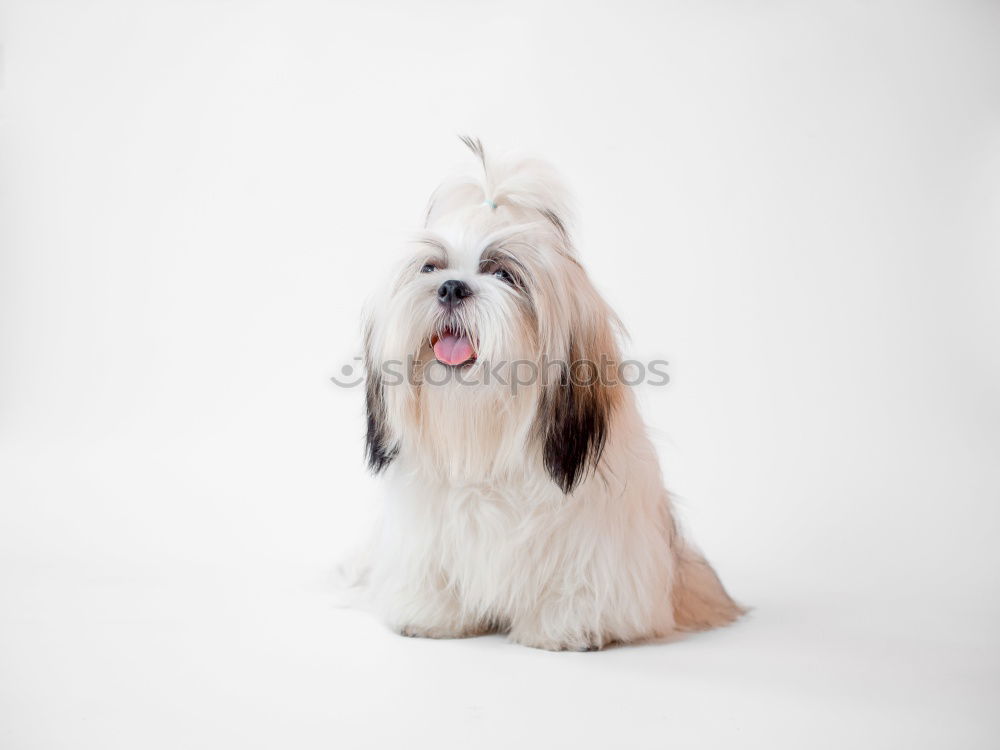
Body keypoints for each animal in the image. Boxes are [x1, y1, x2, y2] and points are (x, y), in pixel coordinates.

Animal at [352, 137, 744, 652]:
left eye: (505, 274)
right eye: (430, 266)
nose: (451, 287)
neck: (487, 442)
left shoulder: (598, 539)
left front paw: (567, 625)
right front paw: (431, 615)